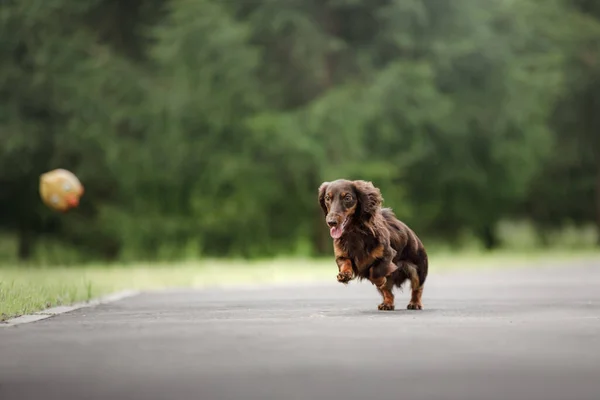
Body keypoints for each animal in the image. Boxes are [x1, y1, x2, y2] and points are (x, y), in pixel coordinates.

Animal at [318, 180, 426, 310]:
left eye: (347, 198)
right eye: (327, 198)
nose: (331, 222)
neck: (355, 233)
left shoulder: (387, 254)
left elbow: (375, 272)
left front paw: (379, 280)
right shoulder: (342, 256)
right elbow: (346, 263)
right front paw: (344, 275)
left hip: (418, 269)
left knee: (417, 288)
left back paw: (415, 303)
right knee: (388, 293)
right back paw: (387, 304)